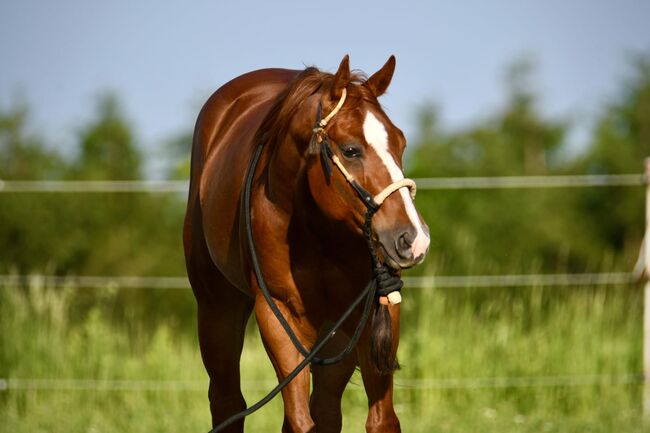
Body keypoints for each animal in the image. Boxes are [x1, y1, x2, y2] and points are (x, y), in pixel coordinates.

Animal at [183, 55, 430, 433]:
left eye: (400, 143)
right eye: (351, 150)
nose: (413, 238)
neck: (317, 232)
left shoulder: (374, 313)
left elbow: (380, 420)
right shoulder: (279, 316)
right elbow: (300, 420)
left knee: (325, 409)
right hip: (217, 310)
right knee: (228, 403)